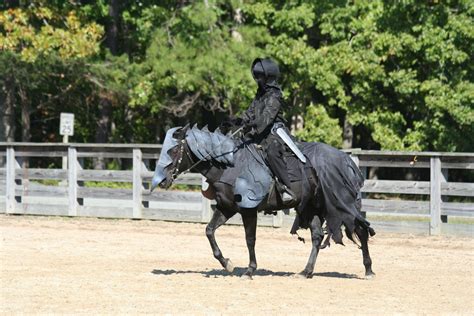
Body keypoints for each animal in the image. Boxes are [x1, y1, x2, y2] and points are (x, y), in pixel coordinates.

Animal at [151, 124, 374, 278]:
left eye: (173, 150)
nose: (163, 181)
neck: (231, 165)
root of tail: (346, 160)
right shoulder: (226, 208)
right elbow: (209, 230)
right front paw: (227, 263)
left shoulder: (248, 210)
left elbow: (250, 239)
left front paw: (250, 270)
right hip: (312, 207)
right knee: (317, 237)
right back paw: (306, 271)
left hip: (342, 205)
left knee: (361, 229)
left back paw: (369, 270)